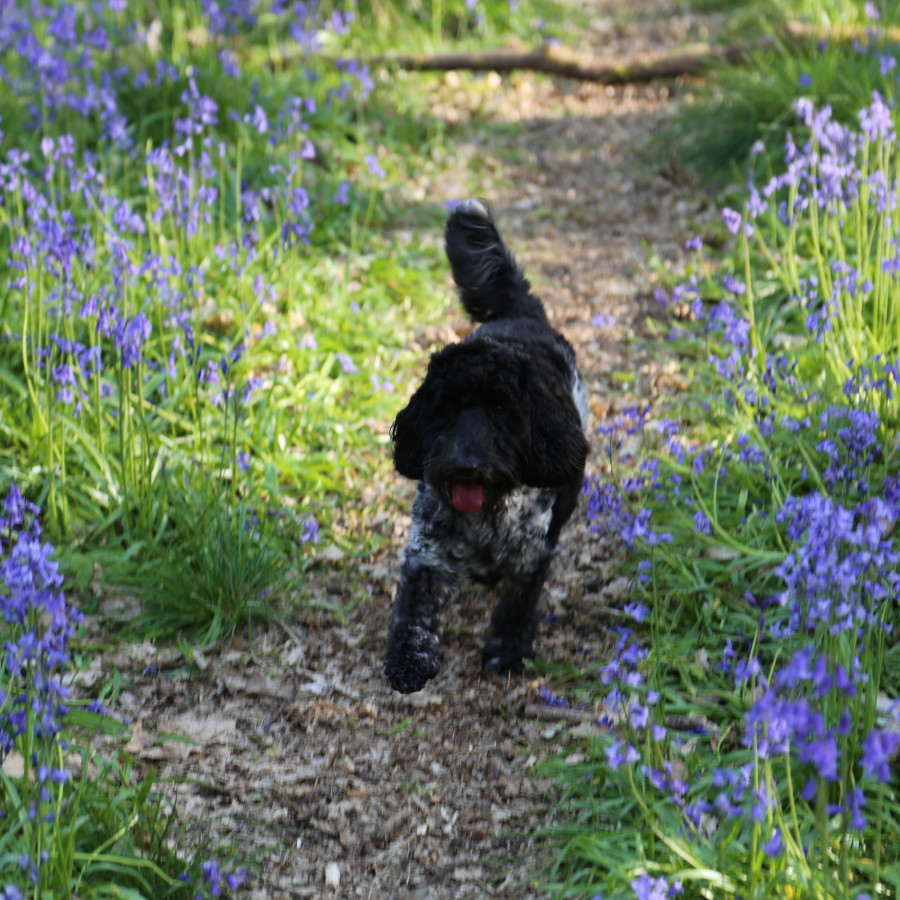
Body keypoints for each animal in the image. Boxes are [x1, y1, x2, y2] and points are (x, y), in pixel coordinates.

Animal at [384, 202, 588, 696]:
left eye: (502, 409)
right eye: (446, 408)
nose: (465, 465)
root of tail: (522, 312)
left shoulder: (534, 552)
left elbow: (517, 604)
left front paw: (506, 651)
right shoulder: (428, 548)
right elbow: (415, 606)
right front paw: (409, 659)